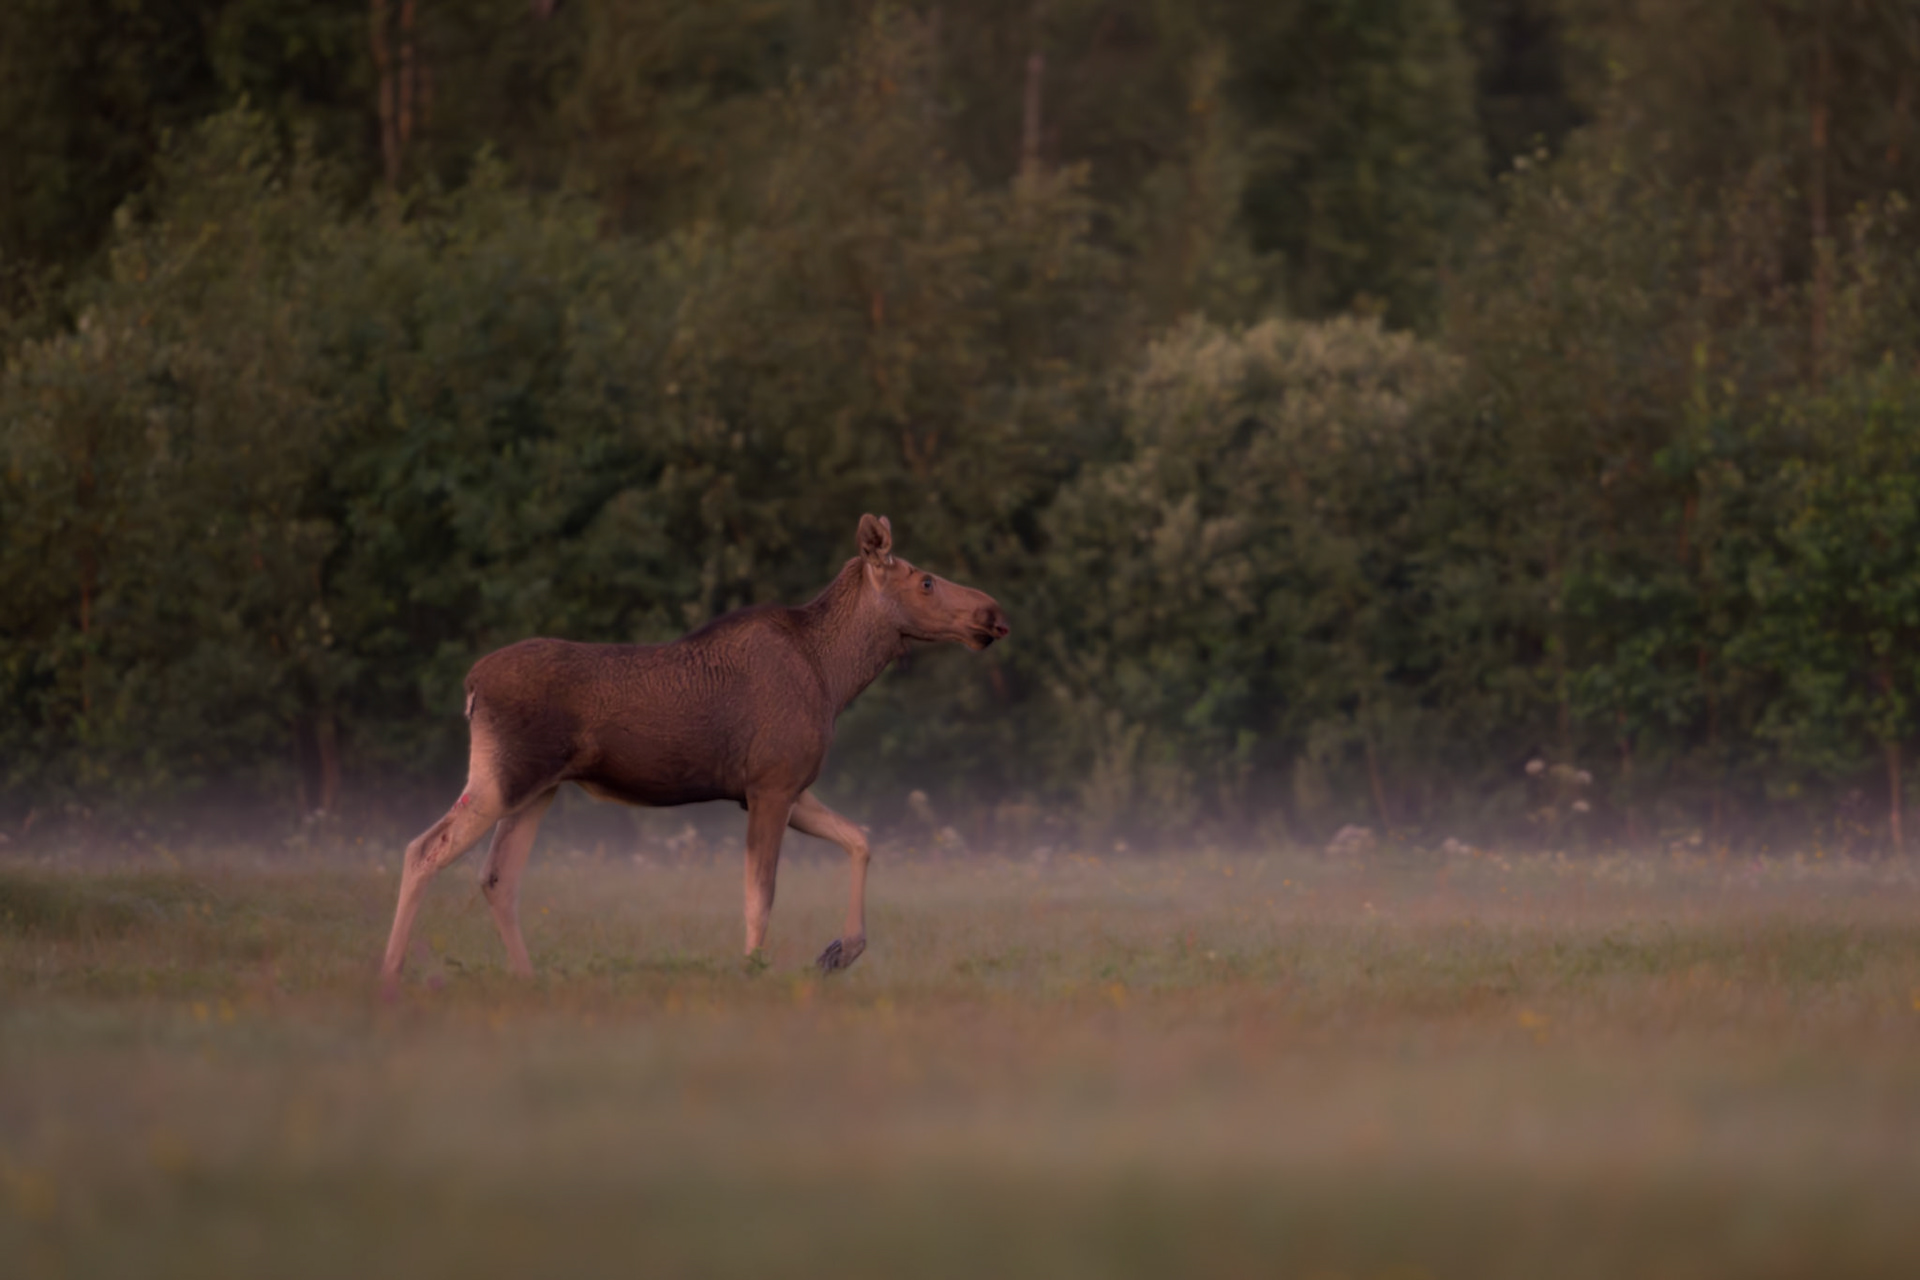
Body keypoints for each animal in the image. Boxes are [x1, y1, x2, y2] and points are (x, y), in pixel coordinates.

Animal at [378, 514, 1010, 992]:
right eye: (926, 582)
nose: (993, 614)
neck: (836, 677)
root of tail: (471, 685)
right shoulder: (772, 784)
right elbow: (761, 895)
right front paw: (752, 971)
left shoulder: (780, 788)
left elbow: (861, 839)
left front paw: (840, 950)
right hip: (502, 778)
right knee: (424, 849)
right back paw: (390, 973)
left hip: (539, 787)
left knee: (497, 877)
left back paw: (527, 978)